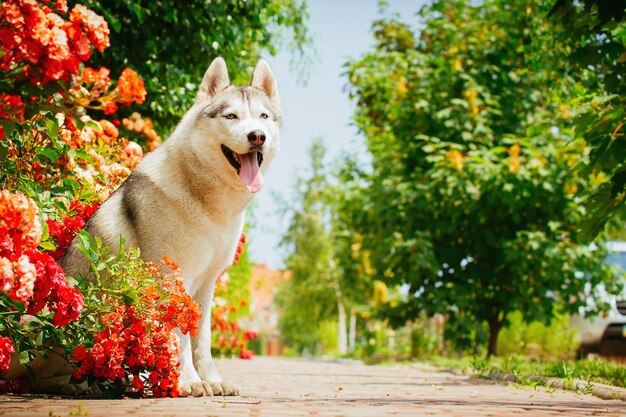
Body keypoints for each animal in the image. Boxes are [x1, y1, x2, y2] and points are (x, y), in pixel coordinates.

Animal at [6, 57, 280, 394]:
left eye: (263, 117)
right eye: (231, 116)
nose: (257, 136)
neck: (205, 199)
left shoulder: (206, 287)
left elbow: (202, 340)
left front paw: (212, 380)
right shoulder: (171, 281)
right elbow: (179, 339)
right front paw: (189, 382)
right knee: (35, 378)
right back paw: (78, 386)